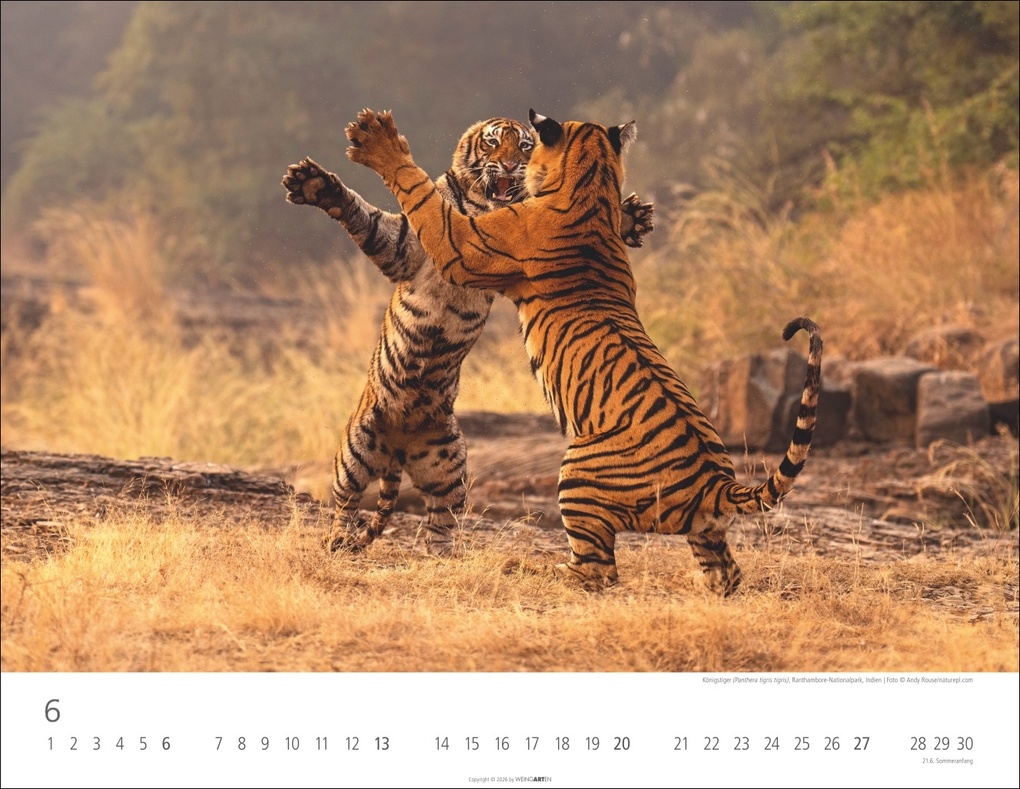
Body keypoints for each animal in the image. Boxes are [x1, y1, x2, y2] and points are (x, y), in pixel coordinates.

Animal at [282, 118, 654, 556]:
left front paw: (630, 217)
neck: (483, 207)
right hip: (357, 448)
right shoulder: (405, 249)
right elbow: (368, 218)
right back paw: (341, 538)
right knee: (346, 502)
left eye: (524, 146)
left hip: (449, 461)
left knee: (441, 517)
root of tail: (397, 450)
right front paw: (313, 185)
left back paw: (441, 556)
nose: (510, 166)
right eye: (493, 143)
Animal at [345, 107, 822, 594]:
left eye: (525, 146)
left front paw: (379, 142)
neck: (592, 186)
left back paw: (533, 569)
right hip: (703, 532)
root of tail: (717, 482)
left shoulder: (465, 247)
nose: (512, 165)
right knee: (725, 572)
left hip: (575, 473)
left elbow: (422, 197)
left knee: (597, 571)